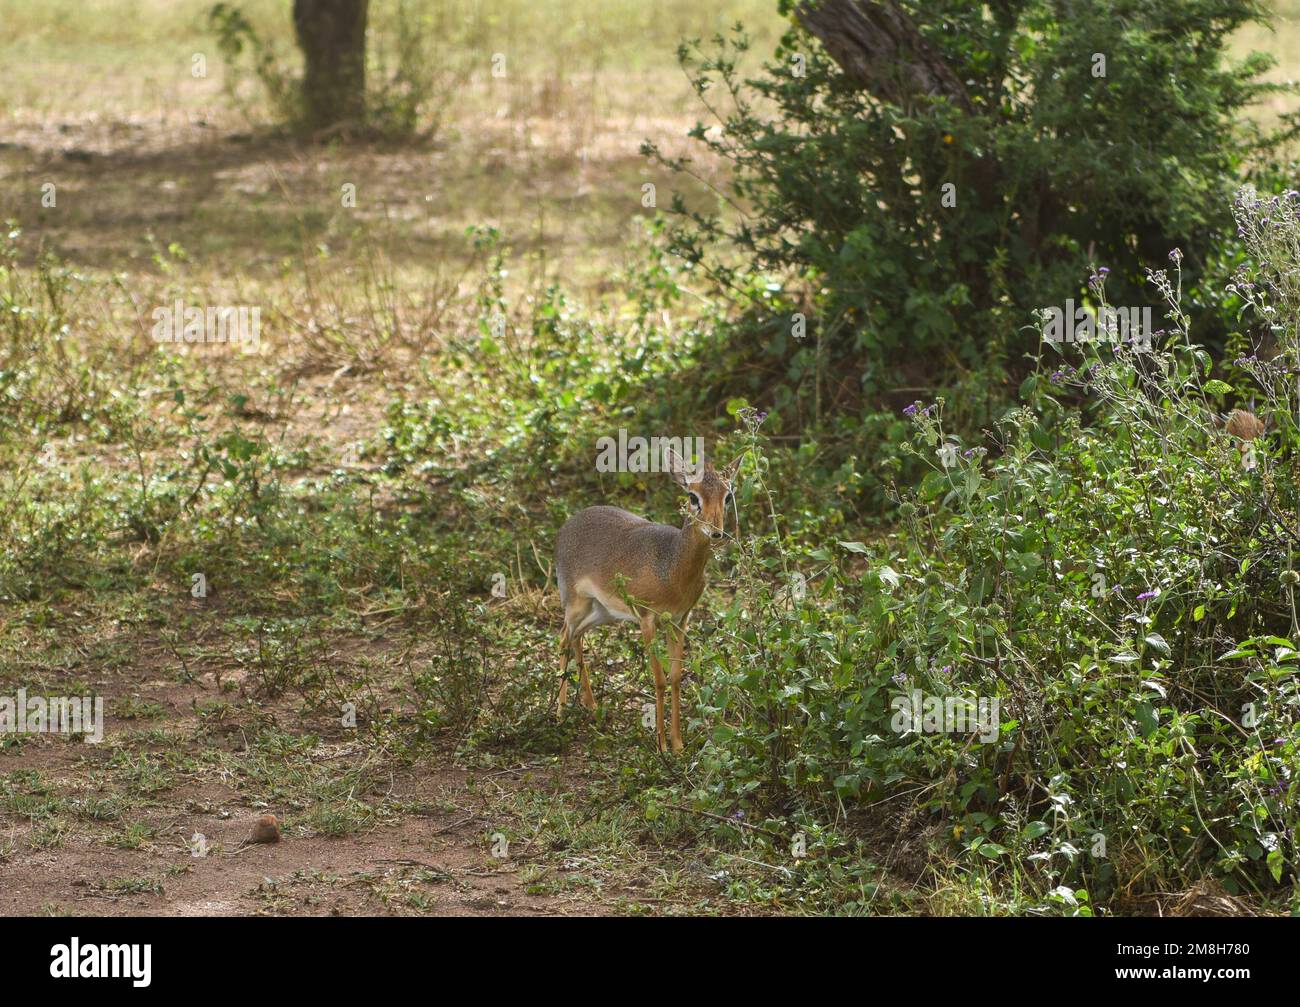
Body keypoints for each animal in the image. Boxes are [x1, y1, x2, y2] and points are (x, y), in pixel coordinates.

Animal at [553, 446, 743, 748]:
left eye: (728, 495)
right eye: (693, 496)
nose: (716, 532)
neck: (671, 566)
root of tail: (566, 526)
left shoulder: (679, 620)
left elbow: (676, 678)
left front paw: (678, 744)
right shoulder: (647, 619)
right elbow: (659, 680)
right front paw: (662, 745)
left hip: (602, 611)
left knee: (577, 638)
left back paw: (592, 706)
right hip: (575, 603)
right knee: (563, 637)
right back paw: (560, 714)